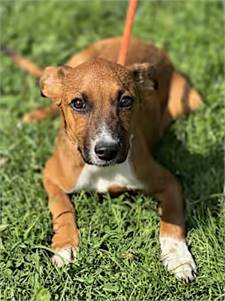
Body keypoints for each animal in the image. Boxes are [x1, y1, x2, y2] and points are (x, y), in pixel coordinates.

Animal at [4, 36, 202, 280]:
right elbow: (62, 207)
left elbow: (173, 222)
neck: (103, 170)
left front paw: (178, 258)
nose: (107, 151)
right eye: (78, 103)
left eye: (126, 101)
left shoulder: (169, 182)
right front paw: (64, 246)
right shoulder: (51, 176)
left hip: (190, 101)